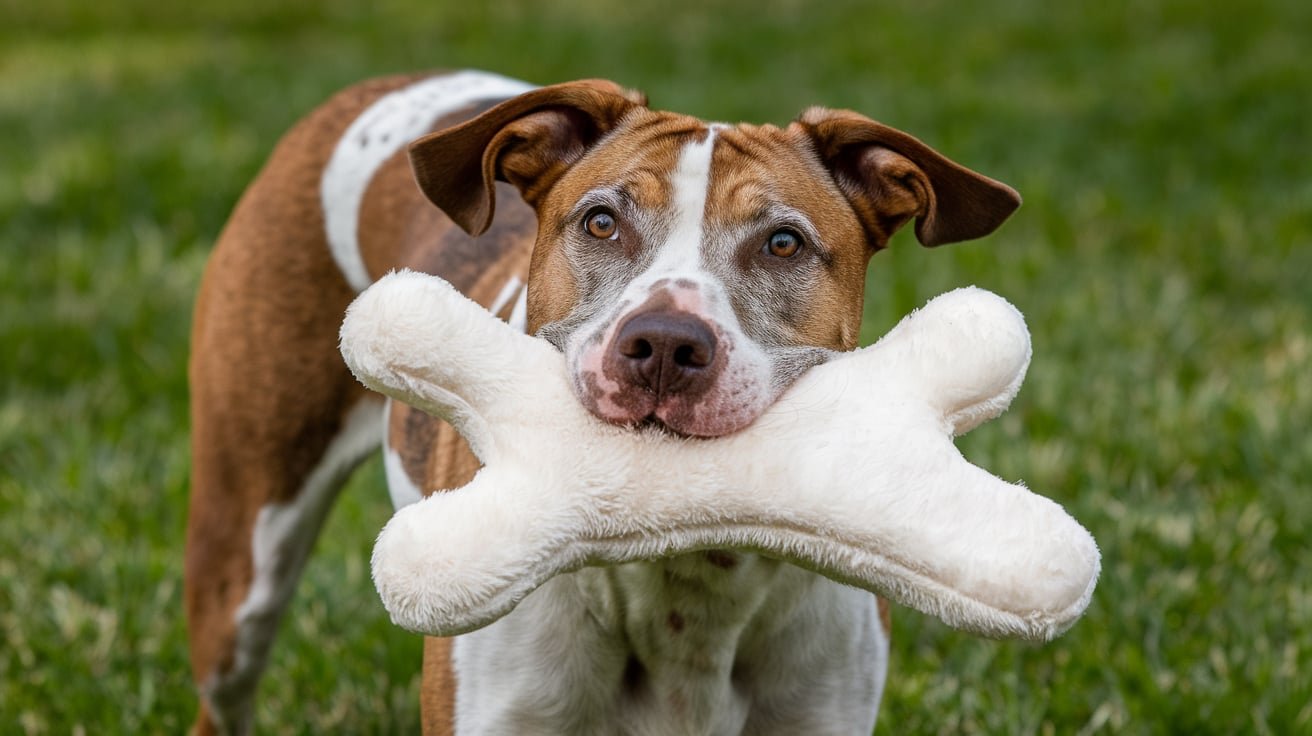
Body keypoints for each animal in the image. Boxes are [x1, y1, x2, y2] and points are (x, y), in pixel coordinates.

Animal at [184, 70, 1018, 734]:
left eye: (783, 243)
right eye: (602, 222)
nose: (666, 344)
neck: (684, 580)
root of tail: (381, 86)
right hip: (240, 563)